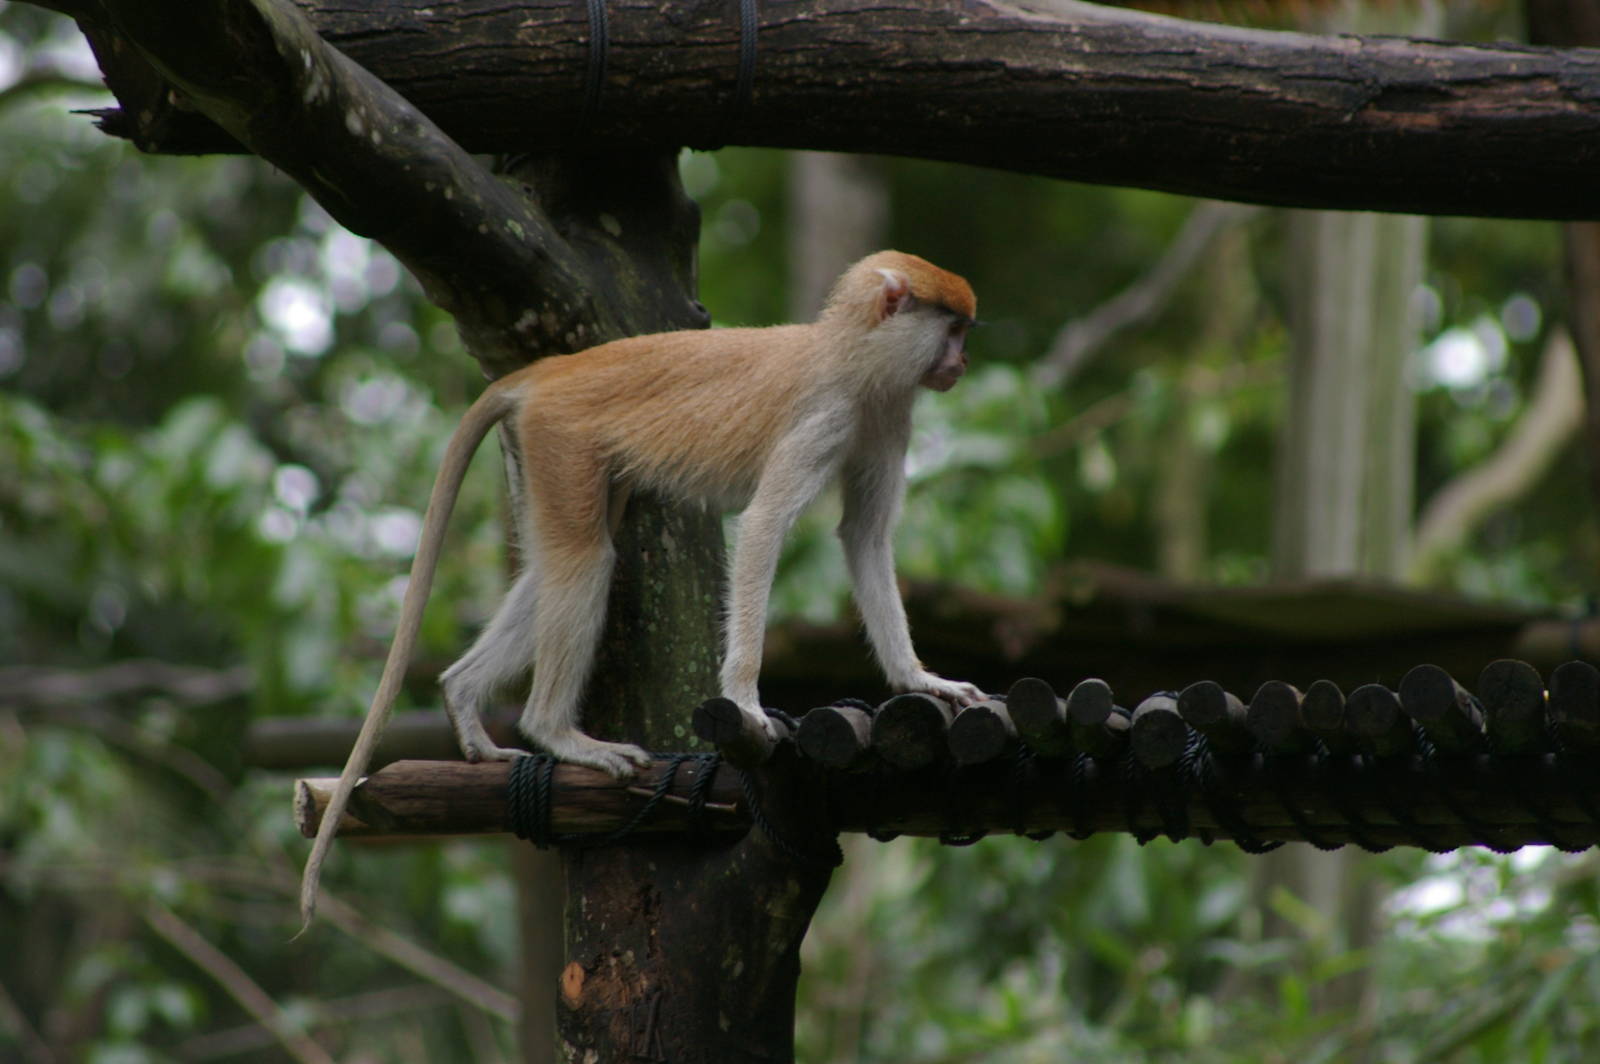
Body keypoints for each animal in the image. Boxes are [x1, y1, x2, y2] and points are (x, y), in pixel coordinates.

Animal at [299, 250, 984, 926]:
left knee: (561, 564)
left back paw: (464, 696)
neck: (853, 349)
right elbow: (765, 527)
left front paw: (923, 680)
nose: (962, 361)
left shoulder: (886, 416)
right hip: (560, 435)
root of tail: (552, 370)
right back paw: (556, 732)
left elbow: (864, 538)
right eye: (953, 329)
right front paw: (746, 701)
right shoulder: (828, 414)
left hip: (544, 447)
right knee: (585, 560)